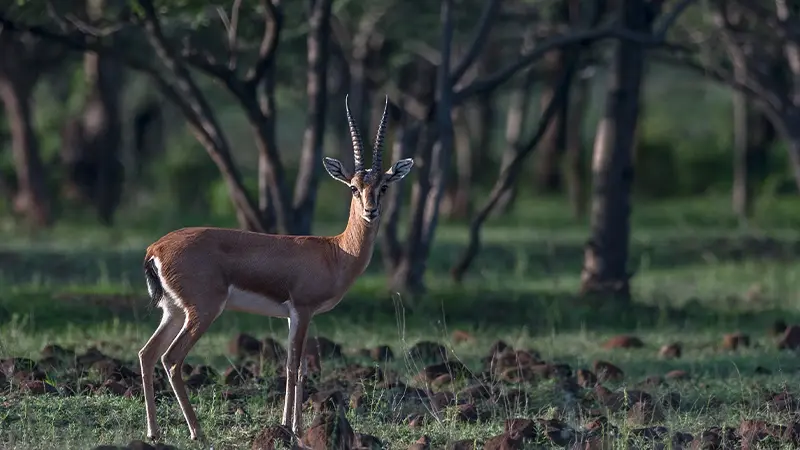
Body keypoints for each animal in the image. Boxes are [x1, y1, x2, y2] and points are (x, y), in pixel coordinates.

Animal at [138, 95, 413, 441]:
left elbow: (297, 366)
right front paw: (293, 428)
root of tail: (155, 248)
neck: (336, 251)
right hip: (203, 311)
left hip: (173, 311)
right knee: (172, 359)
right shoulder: (303, 310)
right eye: (353, 186)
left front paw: (290, 425)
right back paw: (196, 432)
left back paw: (154, 432)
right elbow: (294, 365)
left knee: (147, 354)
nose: (371, 211)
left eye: (384, 186)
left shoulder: (294, 315)